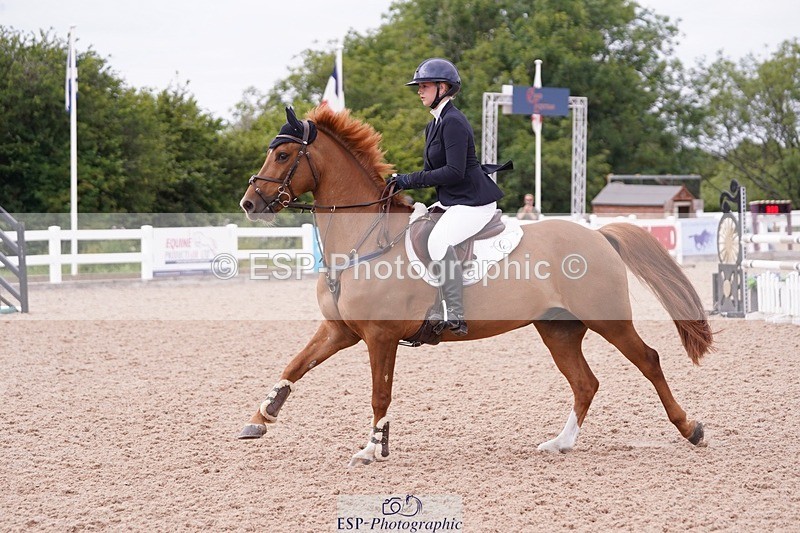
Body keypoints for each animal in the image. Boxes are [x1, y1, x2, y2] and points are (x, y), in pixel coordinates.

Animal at [238, 105, 713, 466]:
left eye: (283, 155)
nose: (249, 203)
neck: (365, 240)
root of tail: (598, 235)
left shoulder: (380, 336)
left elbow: (379, 394)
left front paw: (373, 449)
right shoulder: (341, 330)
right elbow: (294, 365)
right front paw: (260, 418)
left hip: (607, 319)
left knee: (648, 361)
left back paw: (691, 428)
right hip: (558, 328)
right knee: (585, 383)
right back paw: (560, 443)